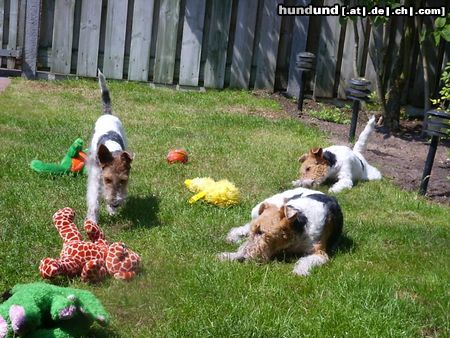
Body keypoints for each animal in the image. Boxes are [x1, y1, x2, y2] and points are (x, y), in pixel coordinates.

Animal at [85, 70, 133, 220]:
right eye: (107, 179)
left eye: (124, 180)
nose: (115, 203)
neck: (112, 150)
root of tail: (108, 114)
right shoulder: (95, 179)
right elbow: (93, 201)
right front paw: (92, 220)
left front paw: (111, 210)